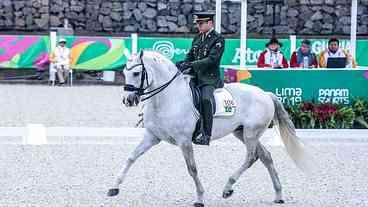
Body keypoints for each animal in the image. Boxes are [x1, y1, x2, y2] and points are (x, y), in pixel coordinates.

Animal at [107, 50, 314, 207]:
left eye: (136, 73)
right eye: (124, 71)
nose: (128, 100)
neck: (167, 98)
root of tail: (265, 94)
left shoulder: (184, 141)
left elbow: (192, 169)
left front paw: (199, 198)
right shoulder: (152, 136)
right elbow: (131, 157)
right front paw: (114, 187)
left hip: (251, 133)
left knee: (252, 157)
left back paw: (228, 188)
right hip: (242, 133)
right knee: (266, 157)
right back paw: (278, 195)